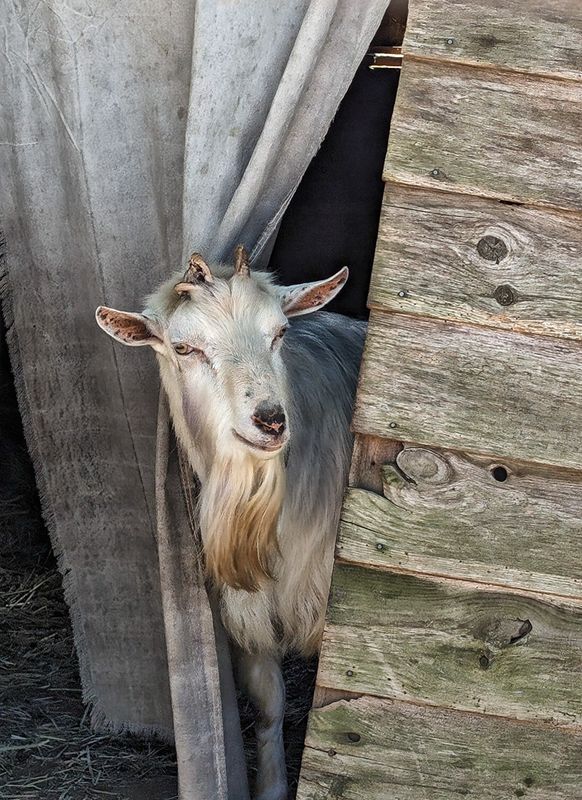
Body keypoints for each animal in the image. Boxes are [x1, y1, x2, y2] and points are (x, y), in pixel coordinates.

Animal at [97, 247, 368, 796]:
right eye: (184, 348)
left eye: (280, 331)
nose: (270, 420)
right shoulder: (249, 607)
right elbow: (267, 704)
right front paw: (271, 785)